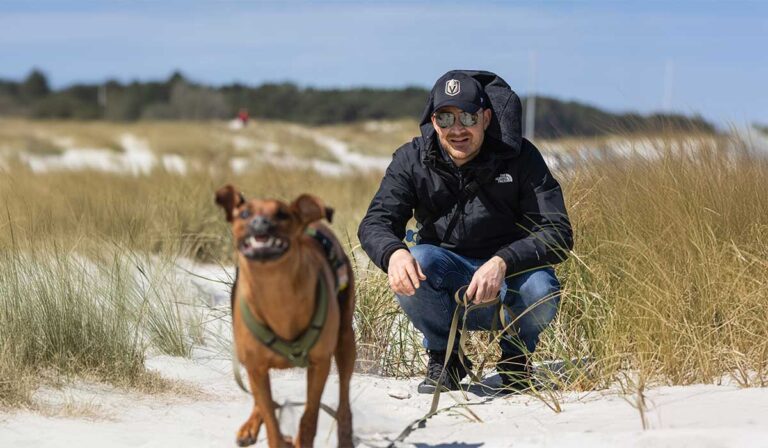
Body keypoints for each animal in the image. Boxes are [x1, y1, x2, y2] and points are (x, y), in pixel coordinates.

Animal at [216, 184, 356, 446]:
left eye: (282, 214)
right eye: (244, 214)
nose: (260, 223)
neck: (276, 293)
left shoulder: (320, 364)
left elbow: (309, 417)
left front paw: (302, 438)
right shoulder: (255, 366)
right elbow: (272, 422)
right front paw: (276, 434)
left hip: (346, 341)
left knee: (344, 397)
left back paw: (344, 435)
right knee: (262, 401)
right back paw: (251, 425)